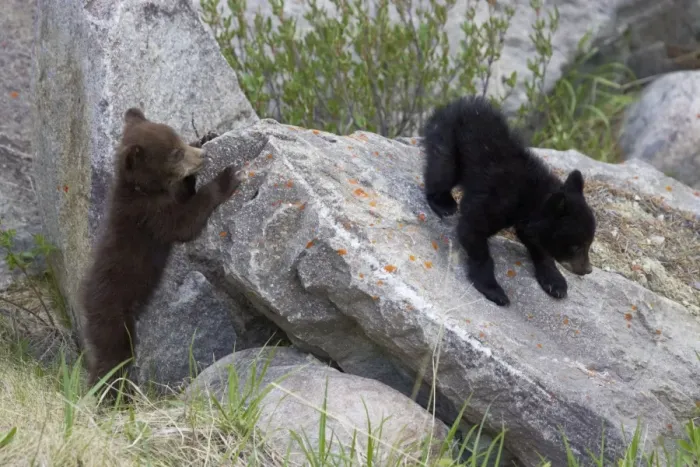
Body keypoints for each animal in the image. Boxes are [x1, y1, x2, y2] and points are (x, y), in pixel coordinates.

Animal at [79, 108, 242, 396]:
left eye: (180, 141)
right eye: (175, 153)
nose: (203, 156)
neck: (144, 189)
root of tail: (84, 303)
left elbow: (183, 195)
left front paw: (207, 136)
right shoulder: (150, 216)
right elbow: (184, 223)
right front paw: (226, 178)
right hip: (114, 315)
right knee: (112, 359)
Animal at [421, 95, 596, 306]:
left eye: (590, 243)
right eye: (576, 246)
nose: (587, 270)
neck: (530, 199)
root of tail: (450, 105)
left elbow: (536, 243)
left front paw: (556, 283)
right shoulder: (497, 202)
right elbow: (472, 230)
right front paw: (494, 290)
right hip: (449, 138)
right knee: (442, 170)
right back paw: (444, 204)